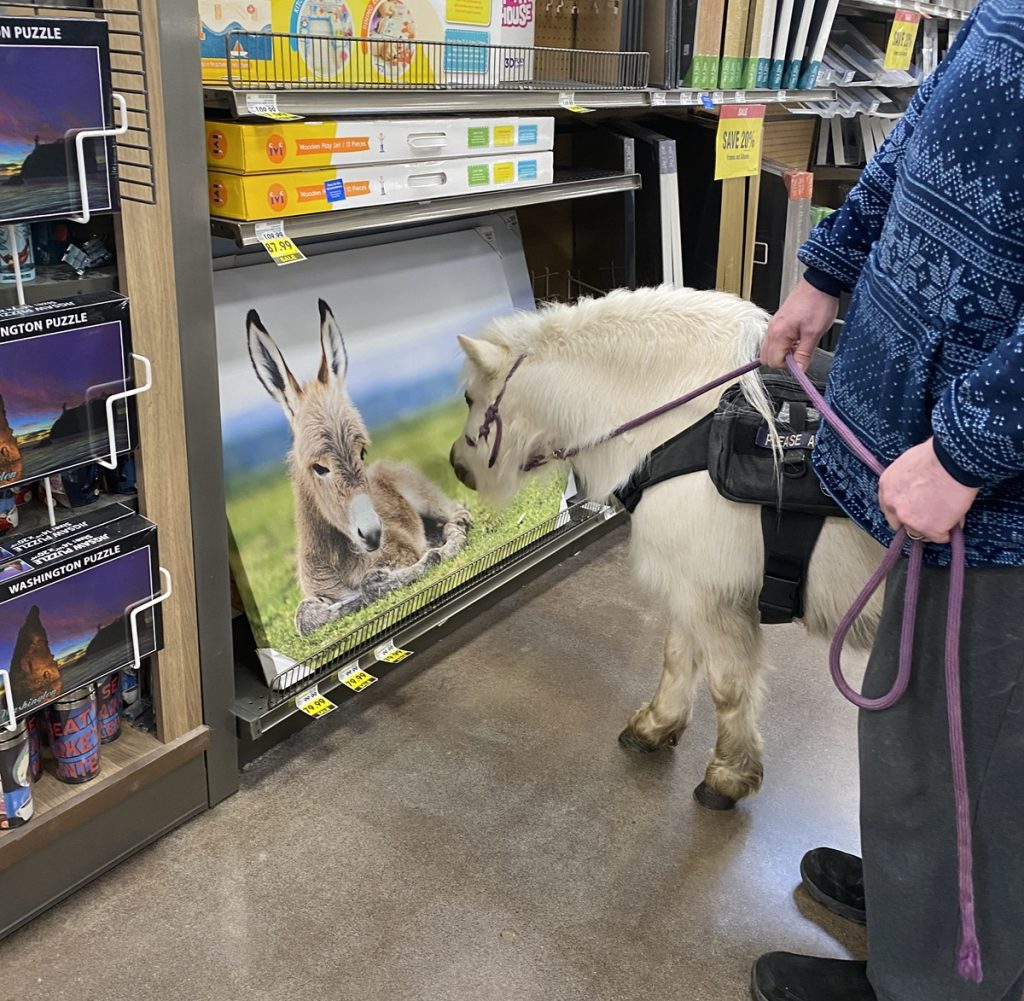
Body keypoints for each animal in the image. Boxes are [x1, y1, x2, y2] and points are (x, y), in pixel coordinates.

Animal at [452, 284, 884, 806]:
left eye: (470, 396)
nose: (457, 466)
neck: (681, 415)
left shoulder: (714, 597)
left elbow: (728, 687)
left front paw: (728, 775)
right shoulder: (688, 584)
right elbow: (677, 656)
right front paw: (656, 726)